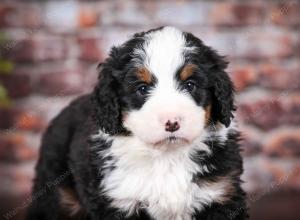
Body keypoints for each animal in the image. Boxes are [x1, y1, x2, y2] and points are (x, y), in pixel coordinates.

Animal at [26, 26, 246, 219]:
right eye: (142, 88)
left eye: (190, 85)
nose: (172, 123)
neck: (166, 158)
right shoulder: (118, 201)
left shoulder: (221, 193)